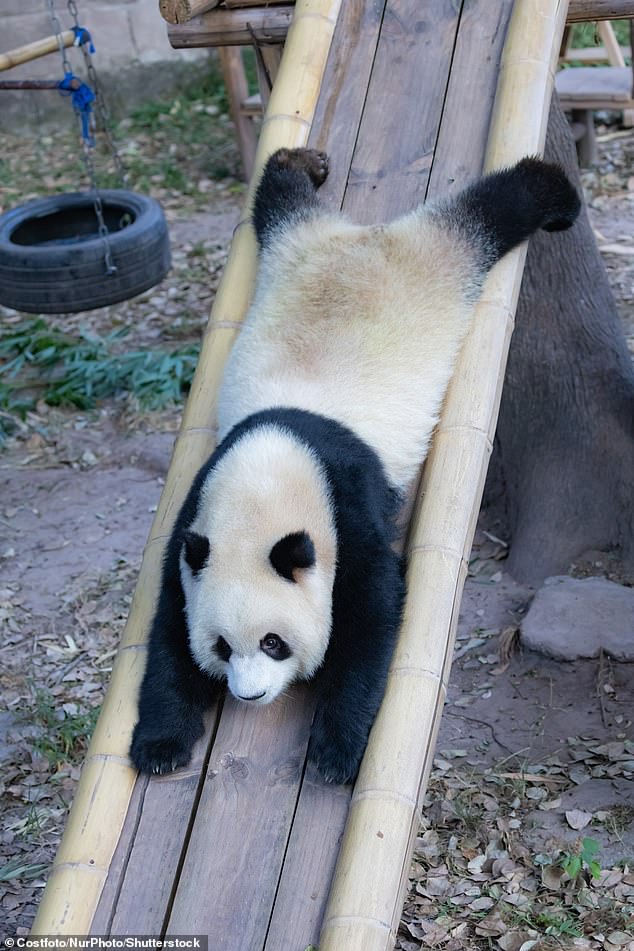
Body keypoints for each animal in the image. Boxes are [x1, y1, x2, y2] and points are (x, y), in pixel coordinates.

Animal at [128, 149, 576, 784]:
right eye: (222, 647)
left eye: (273, 643)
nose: (248, 695)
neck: (267, 471)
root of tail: (363, 236)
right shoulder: (196, 519)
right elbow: (169, 623)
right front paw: (162, 744)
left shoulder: (345, 496)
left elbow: (374, 610)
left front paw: (337, 752)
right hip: (289, 245)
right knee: (277, 199)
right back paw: (301, 165)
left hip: (437, 259)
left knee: (491, 212)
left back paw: (551, 193)